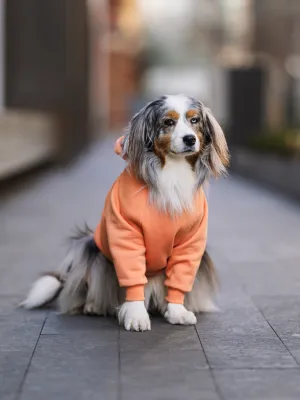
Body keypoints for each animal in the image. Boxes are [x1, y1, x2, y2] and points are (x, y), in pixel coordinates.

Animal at [21, 94, 229, 332]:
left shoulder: (191, 241)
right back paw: (93, 306)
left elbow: (179, 277)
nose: (189, 139)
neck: (171, 172)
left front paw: (177, 311)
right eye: (168, 122)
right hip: (90, 247)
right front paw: (136, 315)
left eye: (195, 120)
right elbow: (132, 276)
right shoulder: (125, 233)